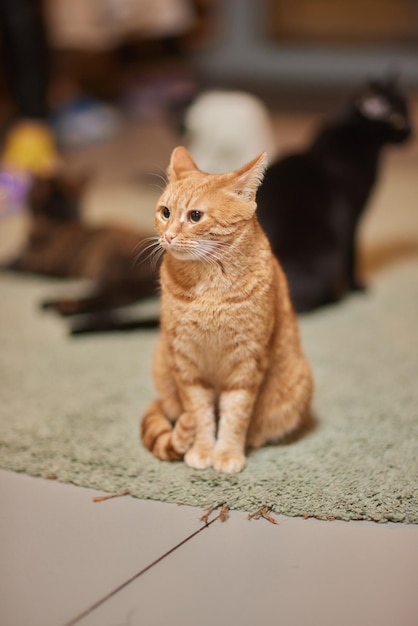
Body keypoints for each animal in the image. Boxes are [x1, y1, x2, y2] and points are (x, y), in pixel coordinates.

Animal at [141, 146, 314, 472]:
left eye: (195, 216)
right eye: (165, 212)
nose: (168, 236)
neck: (209, 288)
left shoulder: (247, 361)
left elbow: (235, 415)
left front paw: (227, 454)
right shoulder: (186, 362)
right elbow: (199, 413)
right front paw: (202, 450)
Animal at [256, 78, 414, 312]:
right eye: (398, 120)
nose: (412, 132)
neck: (351, 131)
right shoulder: (353, 218)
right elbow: (352, 255)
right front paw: (356, 287)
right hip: (328, 253)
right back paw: (335, 298)